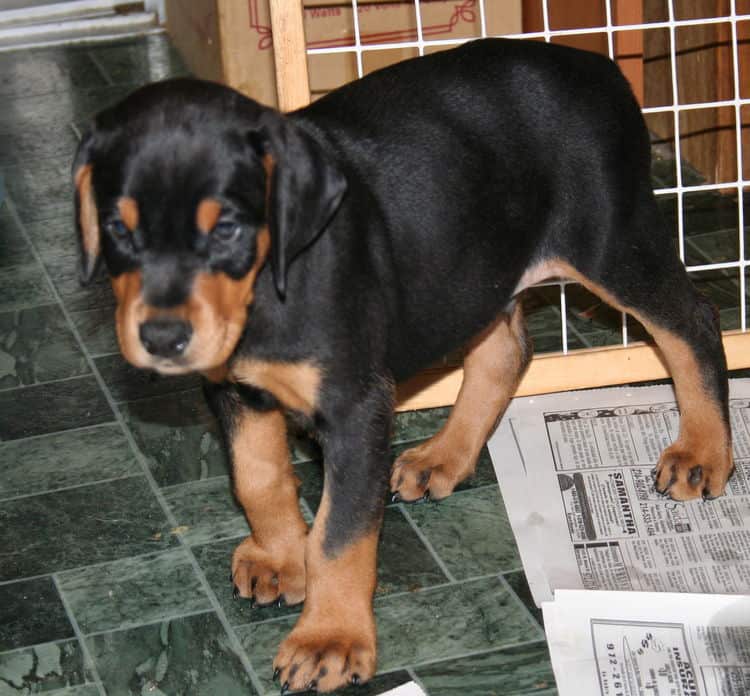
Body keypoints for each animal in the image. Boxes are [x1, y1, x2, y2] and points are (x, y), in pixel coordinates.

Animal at [72, 39, 736, 696]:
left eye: (228, 228)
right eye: (117, 228)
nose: (161, 337)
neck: (269, 287)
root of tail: (597, 64)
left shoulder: (356, 407)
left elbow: (340, 532)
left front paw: (329, 640)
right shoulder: (235, 391)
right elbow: (257, 479)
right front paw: (279, 558)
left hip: (610, 242)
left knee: (695, 322)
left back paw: (702, 451)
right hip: (474, 271)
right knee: (505, 353)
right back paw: (443, 456)